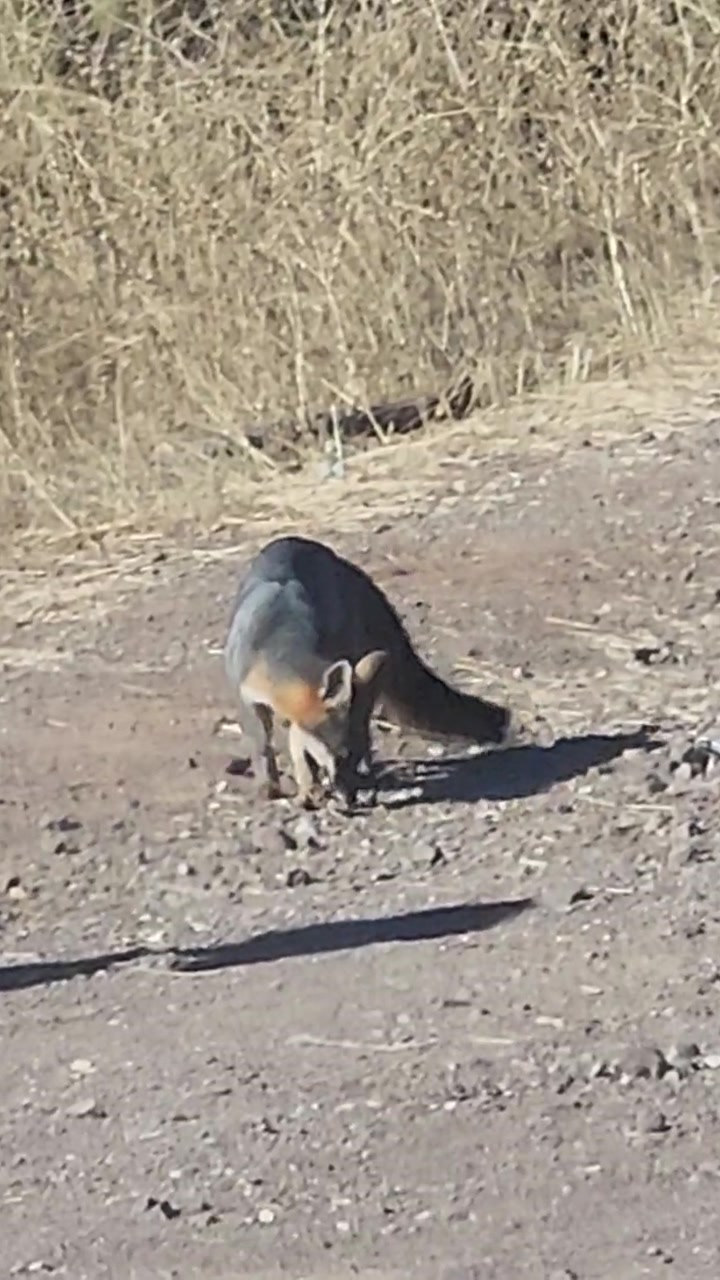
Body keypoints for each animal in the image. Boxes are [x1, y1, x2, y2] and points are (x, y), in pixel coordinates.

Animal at [223, 535, 511, 809]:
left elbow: (304, 754)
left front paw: (310, 788)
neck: (281, 637)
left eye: (352, 756)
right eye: (340, 756)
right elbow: (263, 747)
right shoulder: (248, 698)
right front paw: (271, 788)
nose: (351, 798)